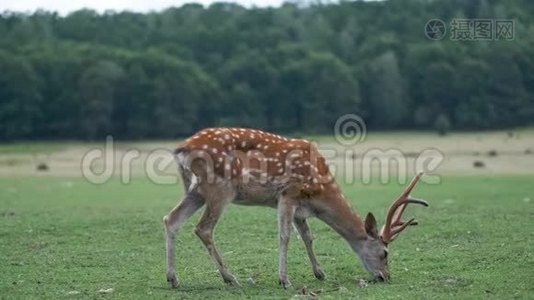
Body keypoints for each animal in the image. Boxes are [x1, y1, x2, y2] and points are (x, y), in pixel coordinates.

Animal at [164, 126, 432, 288]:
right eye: (385, 253)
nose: (386, 276)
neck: (319, 191)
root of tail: (181, 149)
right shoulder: (288, 194)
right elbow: (285, 236)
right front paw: (284, 280)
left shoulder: (301, 206)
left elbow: (307, 236)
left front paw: (320, 273)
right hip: (220, 188)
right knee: (203, 228)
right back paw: (230, 277)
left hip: (196, 191)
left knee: (171, 219)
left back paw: (173, 278)